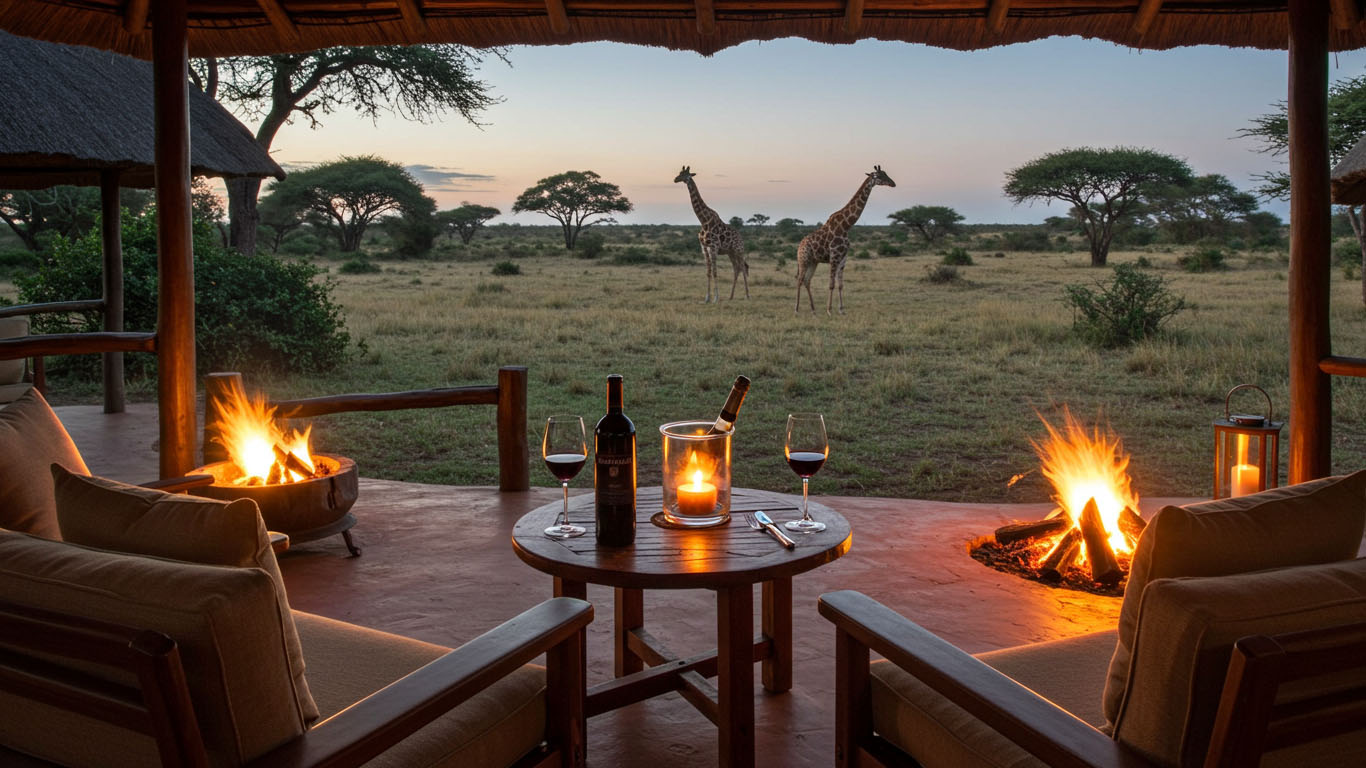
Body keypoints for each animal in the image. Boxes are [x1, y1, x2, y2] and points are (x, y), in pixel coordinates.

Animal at [674, 166, 749, 303]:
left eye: (684, 174)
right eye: (679, 173)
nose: (675, 179)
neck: (703, 220)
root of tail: (741, 238)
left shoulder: (713, 247)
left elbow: (714, 272)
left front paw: (716, 298)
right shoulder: (704, 247)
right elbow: (708, 272)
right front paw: (707, 298)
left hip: (739, 250)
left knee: (743, 267)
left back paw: (747, 295)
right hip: (730, 252)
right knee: (737, 268)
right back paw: (731, 296)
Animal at [795, 165, 897, 315]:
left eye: (885, 174)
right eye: (879, 176)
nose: (893, 183)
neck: (846, 225)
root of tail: (799, 246)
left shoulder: (843, 258)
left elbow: (841, 285)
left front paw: (841, 310)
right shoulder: (834, 256)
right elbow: (831, 284)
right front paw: (829, 310)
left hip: (814, 262)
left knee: (807, 280)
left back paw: (813, 310)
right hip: (804, 260)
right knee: (799, 280)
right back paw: (796, 310)